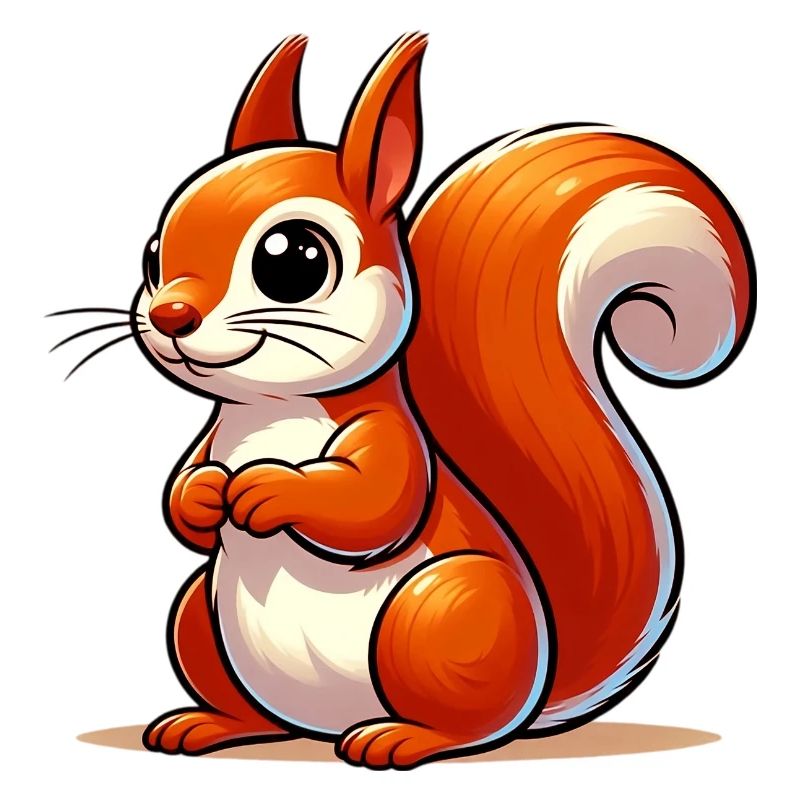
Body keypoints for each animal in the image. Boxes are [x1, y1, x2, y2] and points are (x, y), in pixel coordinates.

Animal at [116, 33, 754, 768]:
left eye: (295, 259)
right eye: (152, 254)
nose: (170, 315)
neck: (272, 410)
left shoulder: (391, 438)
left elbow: (373, 504)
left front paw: (265, 489)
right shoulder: (210, 441)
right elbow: (182, 499)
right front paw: (203, 496)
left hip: (441, 610)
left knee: (470, 726)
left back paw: (402, 737)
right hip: (202, 615)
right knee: (249, 703)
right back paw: (208, 723)